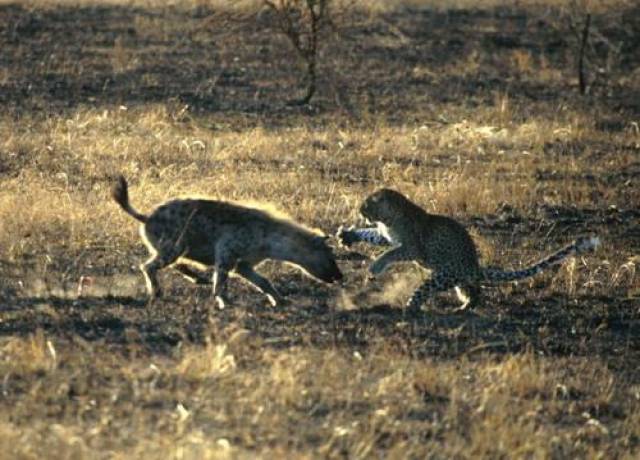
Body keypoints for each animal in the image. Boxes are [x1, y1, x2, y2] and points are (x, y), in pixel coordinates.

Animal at [112, 176, 342, 310]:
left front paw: (280, 300)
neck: (268, 239)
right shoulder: (227, 250)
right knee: (149, 265)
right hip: (174, 244)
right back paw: (158, 291)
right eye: (331, 257)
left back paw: (195, 277)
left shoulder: (244, 263)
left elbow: (263, 281)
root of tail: (147, 217)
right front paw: (225, 301)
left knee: (169, 263)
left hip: (172, 247)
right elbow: (221, 279)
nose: (340, 276)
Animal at [340, 188, 600, 312]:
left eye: (366, 204)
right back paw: (465, 306)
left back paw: (409, 308)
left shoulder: (412, 248)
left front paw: (376, 266)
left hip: (441, 276)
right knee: (475, 292)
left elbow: (390, 253)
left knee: (422, 294)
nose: (359, 210)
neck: (389, 217)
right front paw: (347, 235)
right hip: (458, 282)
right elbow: (372, 235)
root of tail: (475, 266)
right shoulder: (386, 236)